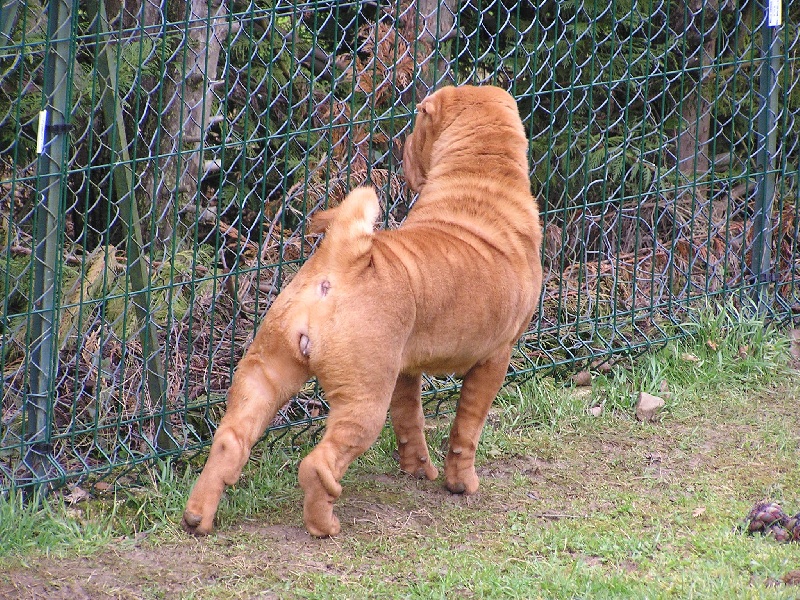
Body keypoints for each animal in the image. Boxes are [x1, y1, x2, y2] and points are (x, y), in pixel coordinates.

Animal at [182, 83, 544, 536]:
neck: (481, 180)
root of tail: (339, 265)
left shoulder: (405, 368)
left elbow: (410, 421)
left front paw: (417, 470)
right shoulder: (495, 358)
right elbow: (467, 428)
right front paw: (461, 484)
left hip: (267, 372)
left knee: (231, 440)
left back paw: (198, 517)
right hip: (363, 399)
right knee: (318, 465)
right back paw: (324, 525)